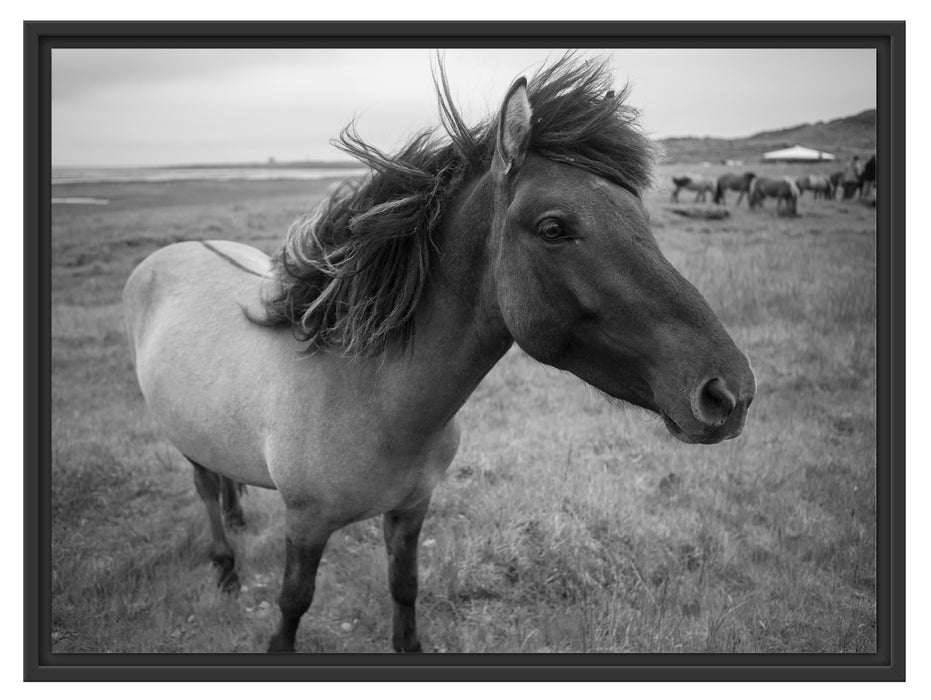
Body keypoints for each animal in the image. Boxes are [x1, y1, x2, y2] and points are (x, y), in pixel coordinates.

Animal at [122, 54, 756, 652]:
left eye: (642, 218)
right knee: (204, 488)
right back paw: (225, 566)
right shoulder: (305, 524)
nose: (729, 392)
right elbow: (293, 603)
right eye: (553, 228)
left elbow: (405, 587)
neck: (368, 394)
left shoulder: (411, 510)